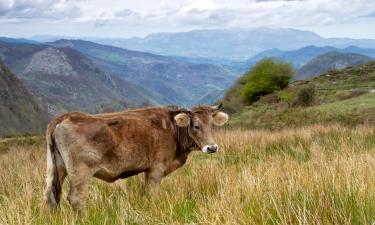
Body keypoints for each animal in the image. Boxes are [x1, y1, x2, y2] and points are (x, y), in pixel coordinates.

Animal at [45, 103, 231, 211]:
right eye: (196, 126)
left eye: (212, 125)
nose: (212, 147)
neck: (172, 128)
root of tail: (63, 117)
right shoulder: (157, 168)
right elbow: (152, 193)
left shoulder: (148, 169)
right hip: (81, 171)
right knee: (76, 198)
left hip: (57, 167)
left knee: (52, 197)